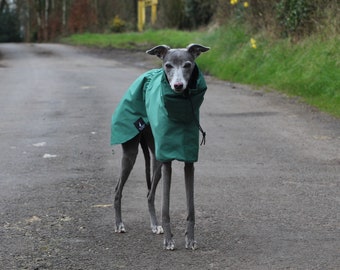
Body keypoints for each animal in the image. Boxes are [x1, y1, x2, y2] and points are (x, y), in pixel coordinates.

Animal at [110, 43, 209, 249]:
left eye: (187, 65)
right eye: (168, 65)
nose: (177, 85)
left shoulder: (189, 162)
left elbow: (191, 207)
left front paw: (190, 239)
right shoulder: (168, 162)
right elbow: (166, 207)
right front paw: (169, 241)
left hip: (156, 159)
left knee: (149, 194)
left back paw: (155, 225)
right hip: (131, 153)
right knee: (117, 190)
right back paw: (119, 224)